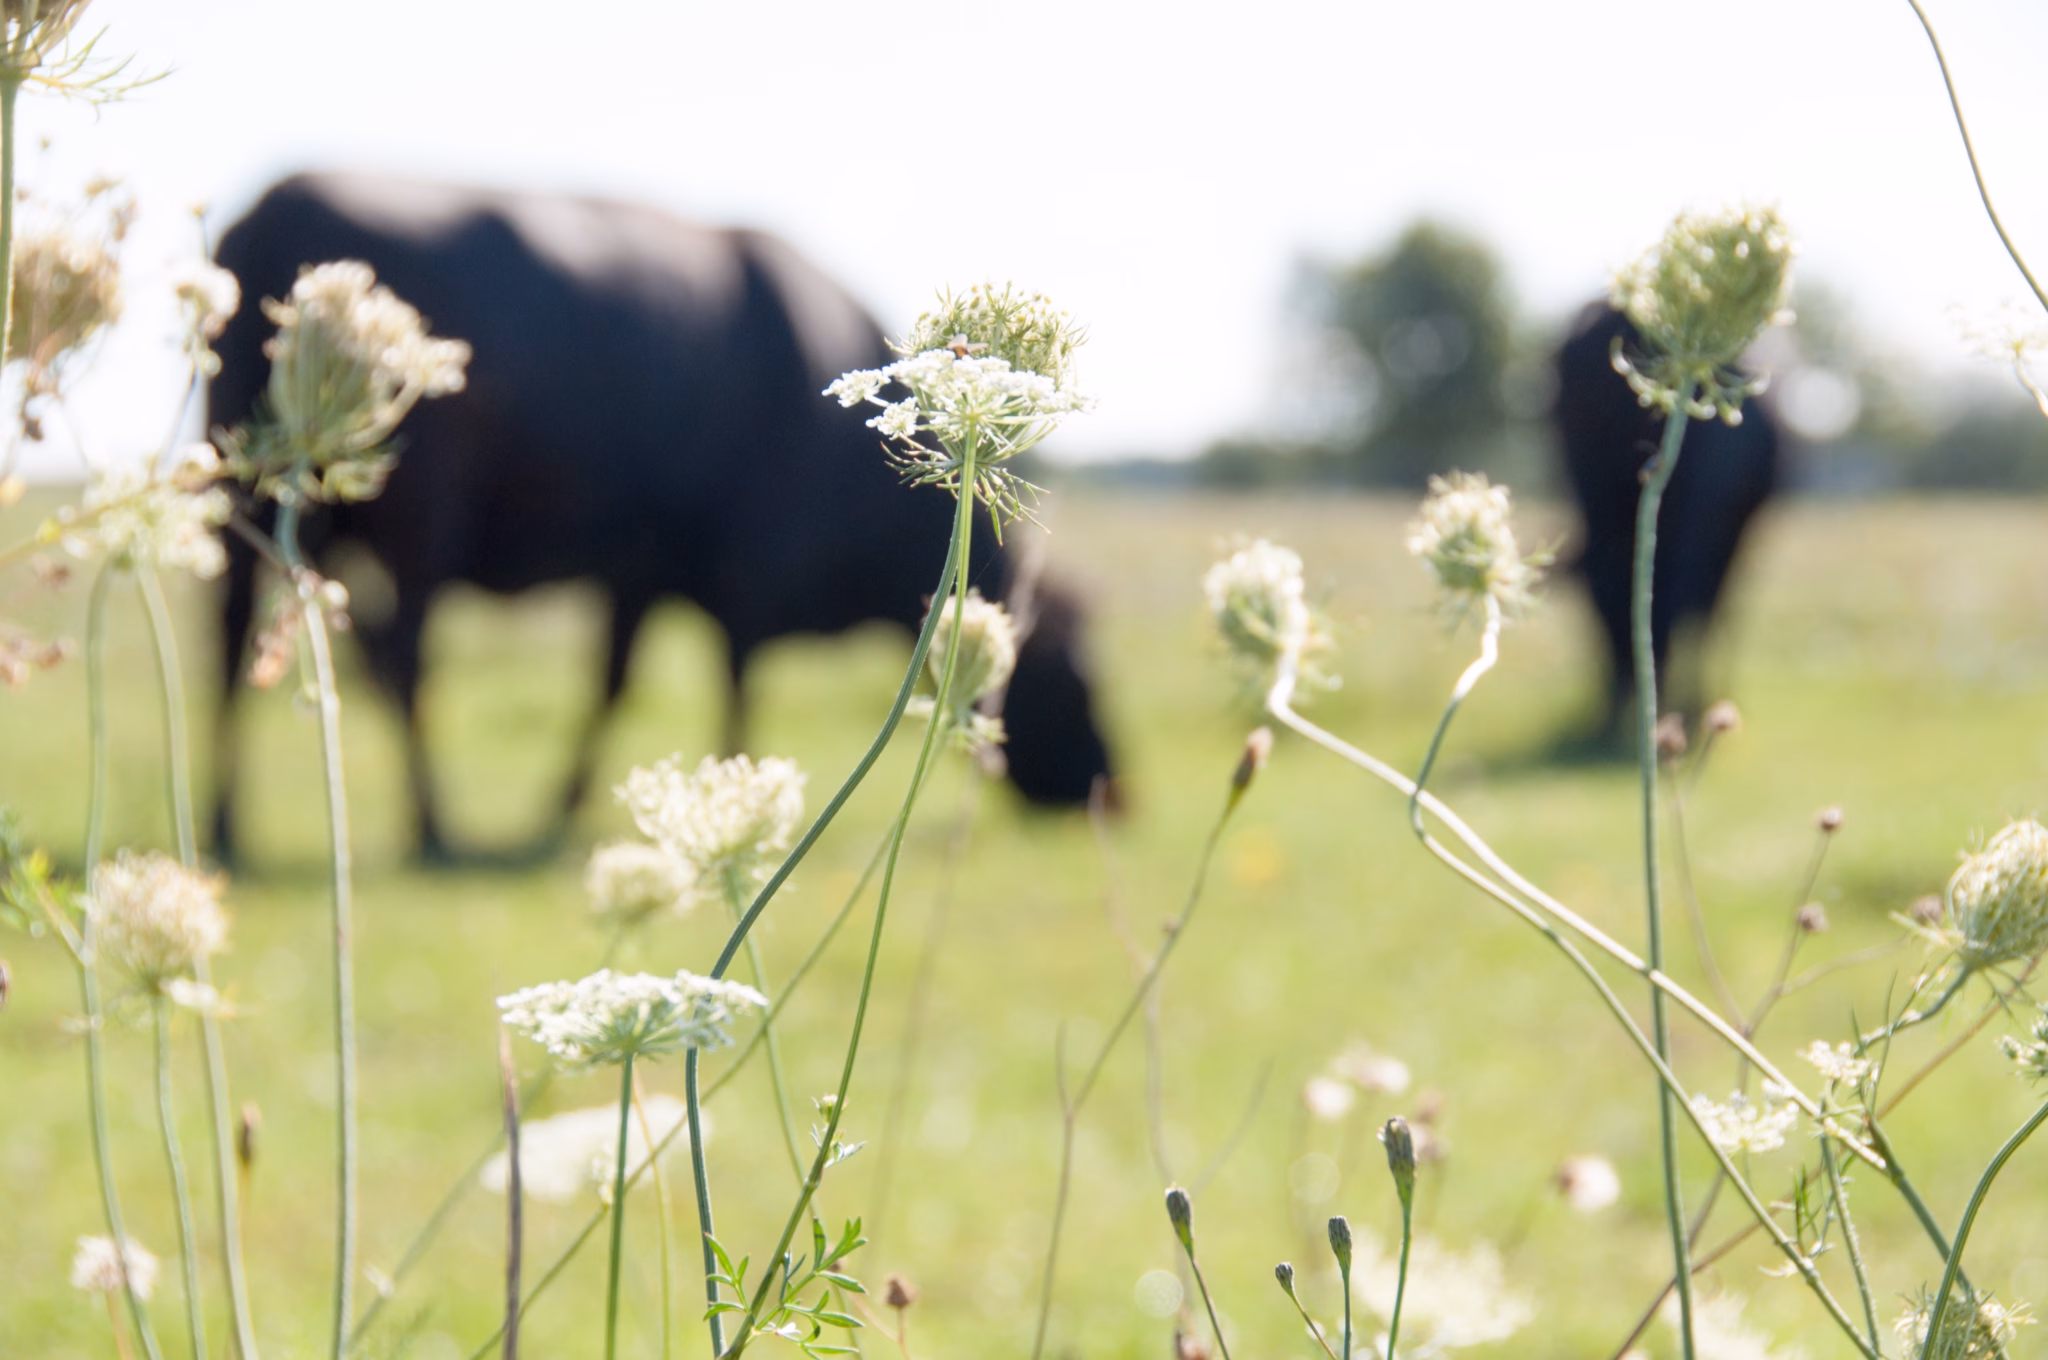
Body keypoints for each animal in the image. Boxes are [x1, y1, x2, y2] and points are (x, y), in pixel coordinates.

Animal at [208, 172, 1115, 865]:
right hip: (420, 518)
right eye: (1073, 677)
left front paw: (567, 807)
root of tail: (276, 202)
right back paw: (432, 829)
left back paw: (227, 831)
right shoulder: (746, 579)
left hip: (269, 505)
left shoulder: (636, 574)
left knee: (236, 648)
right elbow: (733, 686)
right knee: (400, 659)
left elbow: (611, 685)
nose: (1117, 792)